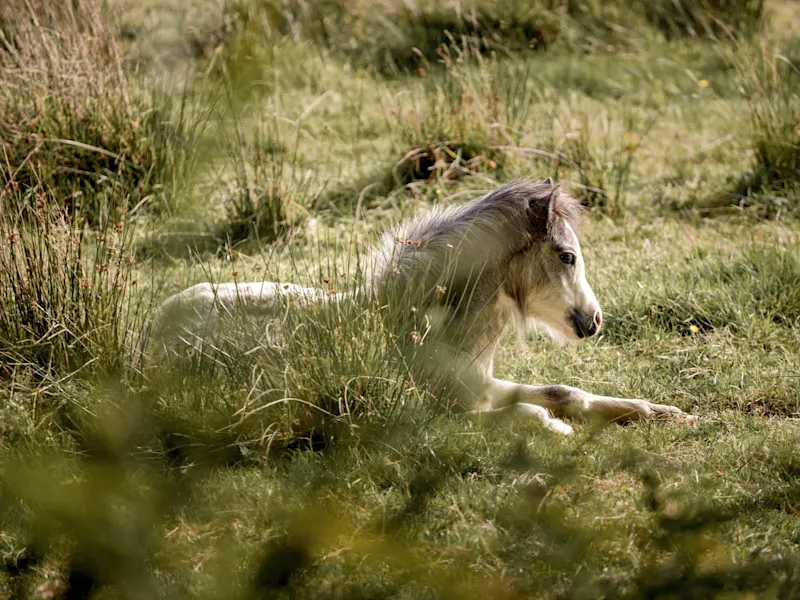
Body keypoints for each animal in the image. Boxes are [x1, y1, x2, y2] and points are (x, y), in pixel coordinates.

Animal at [136, 179, 695, 434]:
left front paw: (666, 412)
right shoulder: (433, 411)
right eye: (566, 255)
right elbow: (529, 413)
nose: (594, 321)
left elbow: (566, 392)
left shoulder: (482, 383)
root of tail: (149, 333)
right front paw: (554, 428)